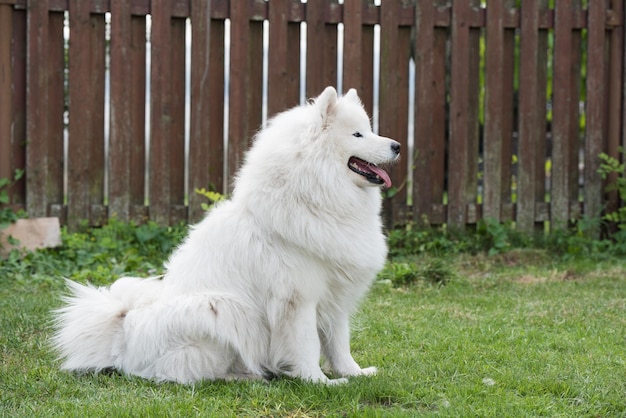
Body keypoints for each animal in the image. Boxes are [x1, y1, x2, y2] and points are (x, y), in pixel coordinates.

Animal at [51, 85, 398, 386]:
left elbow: (339, 343)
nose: (396, 145)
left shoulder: (335, 295)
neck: (315, 197)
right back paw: (246, 377)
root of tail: (123, 336)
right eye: (357, 134)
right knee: (186, 373)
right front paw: (320, 382)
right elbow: (308, 346)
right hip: (223, 309)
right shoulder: (297, 300)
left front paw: (354, 373)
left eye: (370, 129)